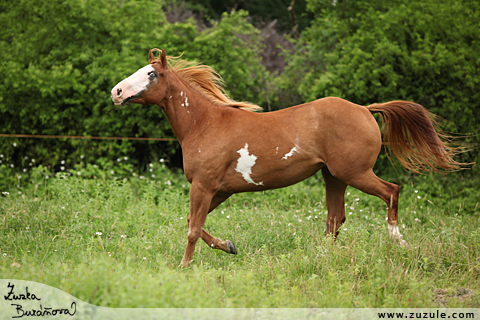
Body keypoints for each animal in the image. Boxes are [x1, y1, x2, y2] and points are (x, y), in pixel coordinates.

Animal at [109, 48, 464, 268]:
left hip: (355, 173)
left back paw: (397, 240)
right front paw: (230, 246)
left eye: (151, 74)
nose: (116, 92)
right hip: (333, 177)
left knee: (391, 192)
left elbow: (193, 228)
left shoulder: (204, 186)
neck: (205, 124)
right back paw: (322, 257)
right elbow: (194, 224)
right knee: (335, 219)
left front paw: (184, 265)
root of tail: (365, 109)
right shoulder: (218, 191)